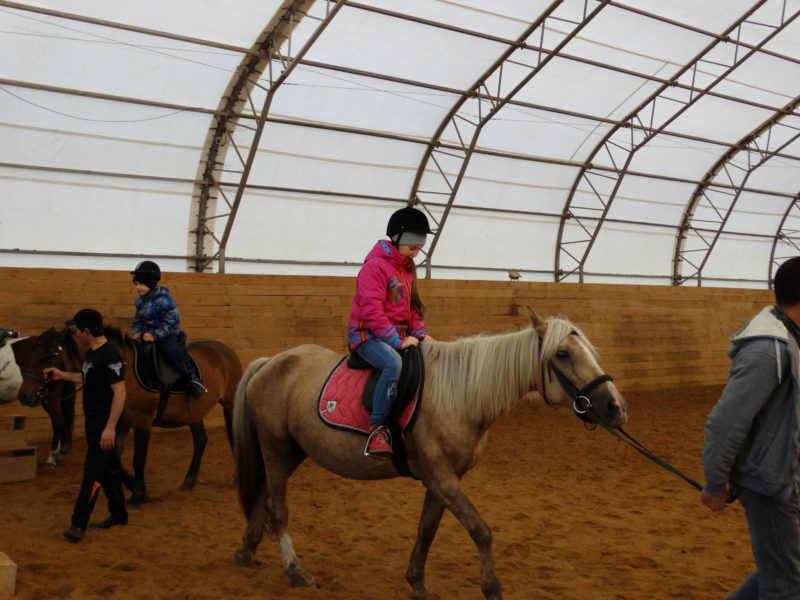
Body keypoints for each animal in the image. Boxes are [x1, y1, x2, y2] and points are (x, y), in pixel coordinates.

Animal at [19, 326, 241, 504]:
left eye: (48, 356)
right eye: (33, 353)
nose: (24, 395)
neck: (122, 371)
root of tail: (225, 350)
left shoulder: (142, 421)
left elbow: (138, 459)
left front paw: (138, 494)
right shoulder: (120, 422)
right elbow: (115, 457)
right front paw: (135, 486)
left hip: (230, 404)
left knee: (232, 438)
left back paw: (235, 479)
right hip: (194, 413)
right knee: (201, 441)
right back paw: (189, 480)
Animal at [234, 310, 628, 600]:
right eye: (562, 354)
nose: (616, 407)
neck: (459, 394)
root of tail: (271, 362)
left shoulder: (442, 478)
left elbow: (427, 529)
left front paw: (417, 583)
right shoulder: (441, 476)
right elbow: (480, 531)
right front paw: (491, 587)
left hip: (292, 452)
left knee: (263, 496)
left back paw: (247, 550)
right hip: (276, 448)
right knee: (278, 508)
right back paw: (296, 571)